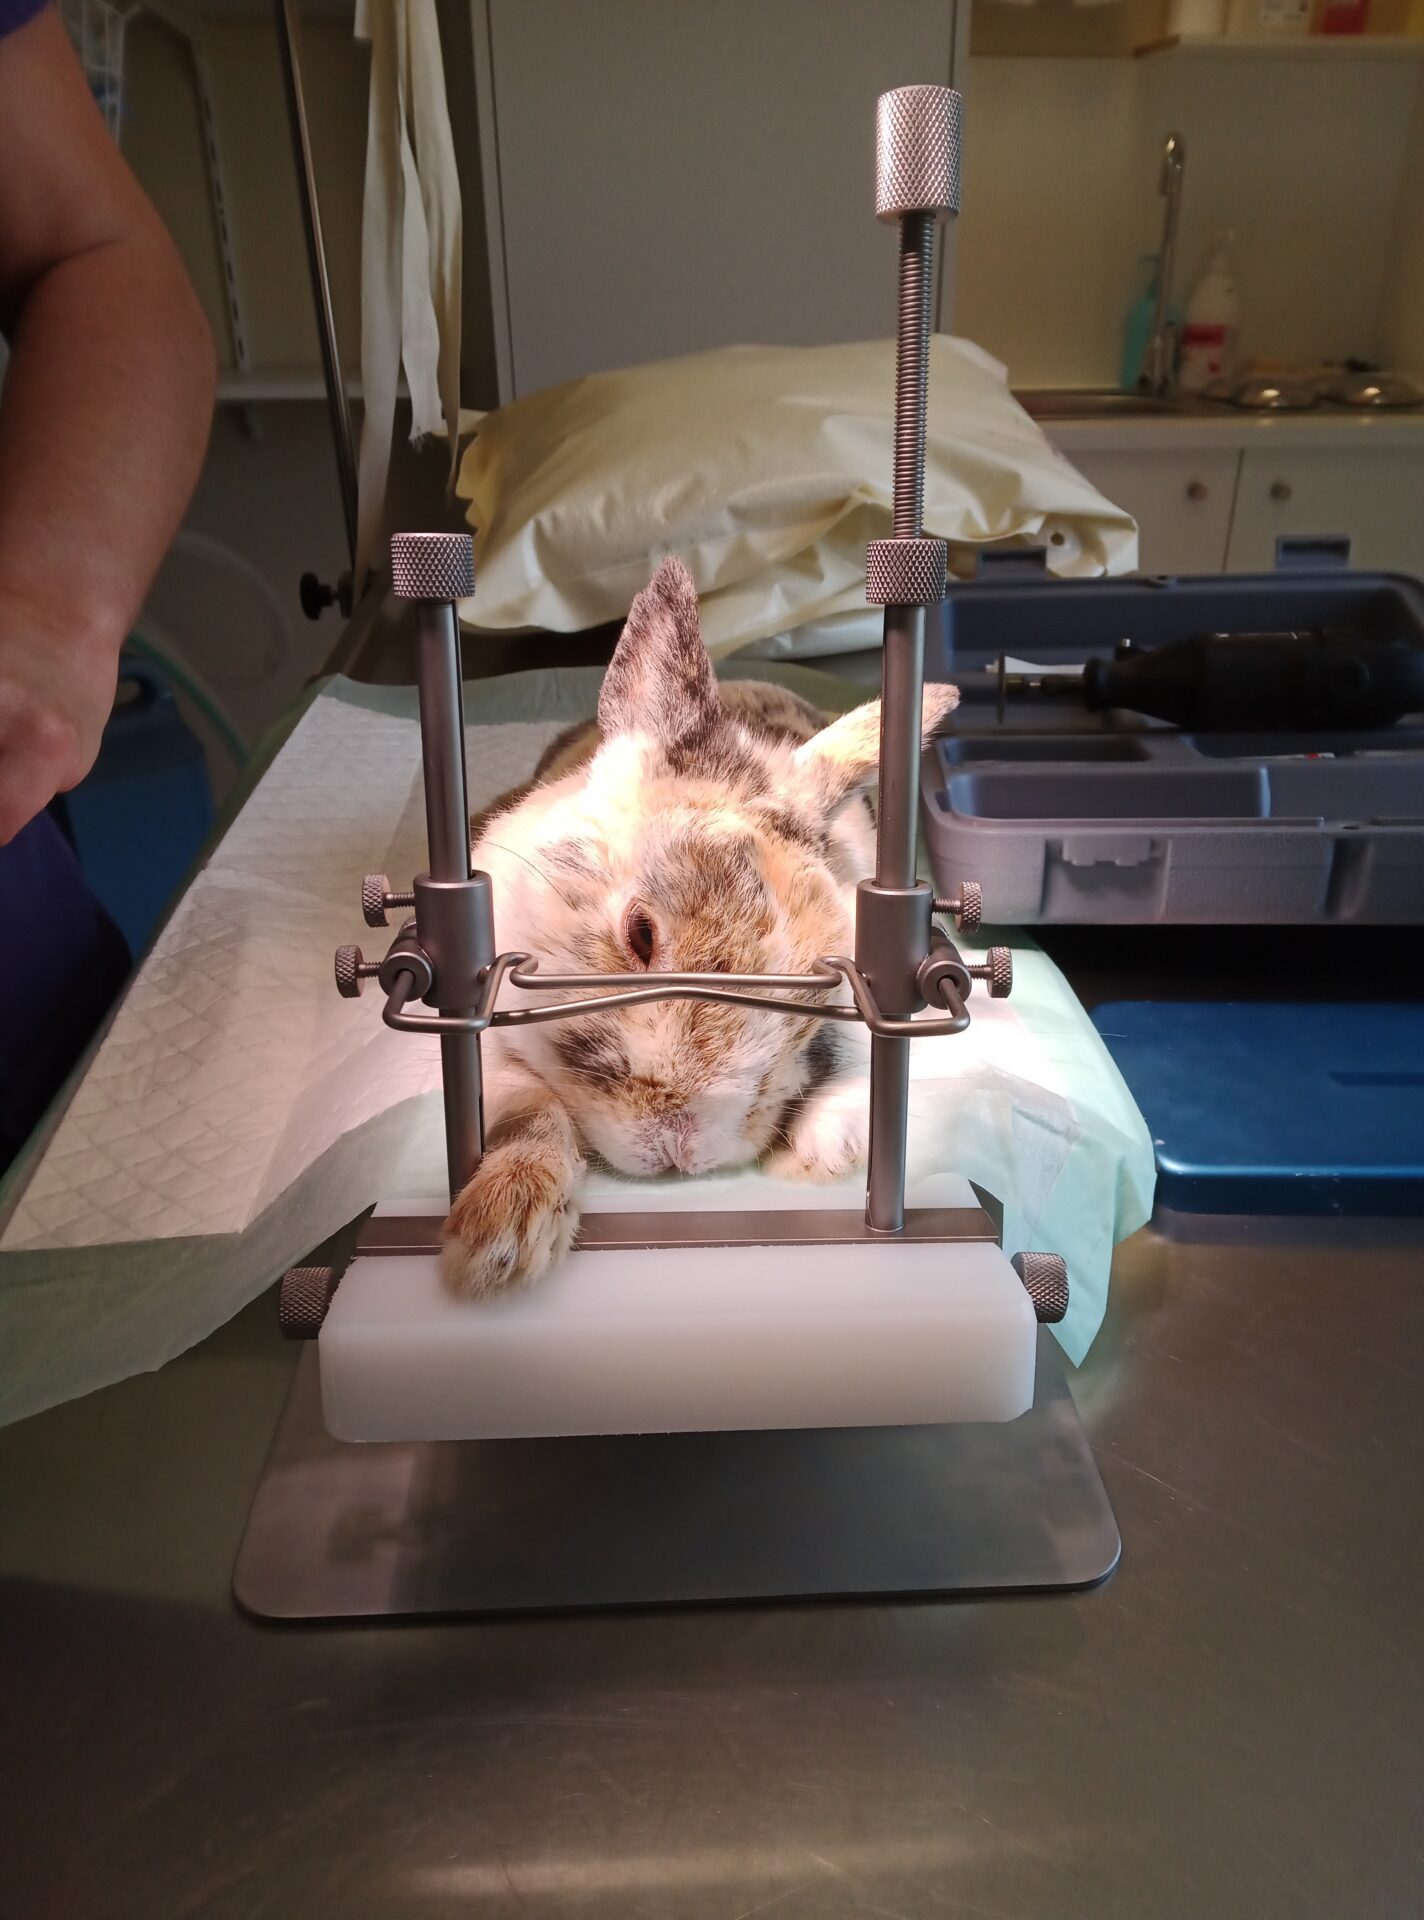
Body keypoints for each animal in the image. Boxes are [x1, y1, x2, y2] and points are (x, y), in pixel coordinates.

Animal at [441, 554, 958, 1298]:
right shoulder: (483, 1037)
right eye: (641, 935)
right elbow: (528, 1105)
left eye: (810, 1021)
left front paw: (828, 1147)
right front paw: (503, 1238)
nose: (680, 1149)